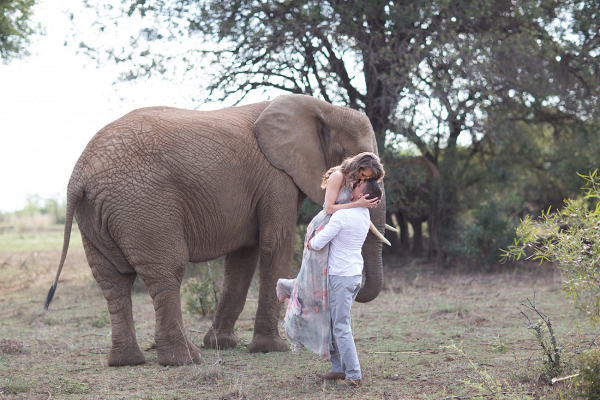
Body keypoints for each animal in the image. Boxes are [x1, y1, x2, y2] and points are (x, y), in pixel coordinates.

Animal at [43, 94, 390, 366]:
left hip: (97, 214)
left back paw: (128, 362)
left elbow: (243, 257)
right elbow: (275, 245)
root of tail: (78, 175)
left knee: (113, 279)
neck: (323, 107)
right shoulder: (276, 178)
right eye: (353, 160)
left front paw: (224, 345)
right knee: (167, 271)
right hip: (143, 204)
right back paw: (184, 360)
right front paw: (270, 349)